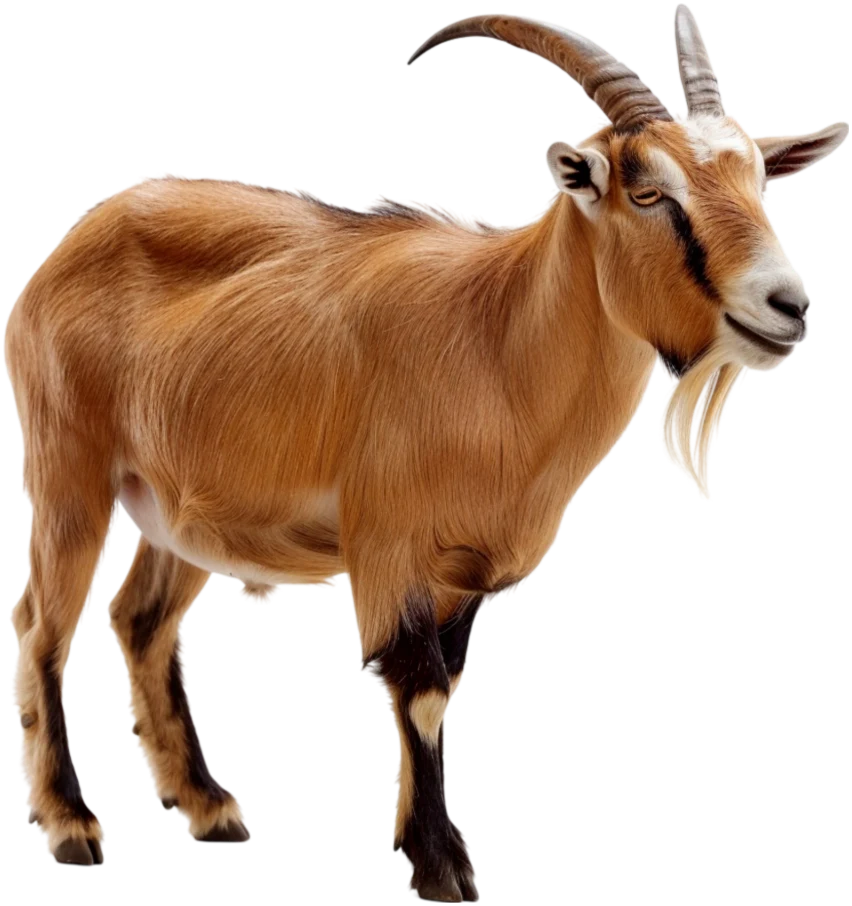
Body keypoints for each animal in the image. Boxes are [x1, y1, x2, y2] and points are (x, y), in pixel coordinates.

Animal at [5, 4, 846, 897]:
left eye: (760, 184)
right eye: (649, 191)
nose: (787, 305)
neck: (497, 336)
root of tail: (70, 247)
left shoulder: (466, 571)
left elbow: (447, 684)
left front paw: (441, 856)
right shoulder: (389, 549)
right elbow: (416, 686)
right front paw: (443, 868)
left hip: (179, 509)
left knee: (142, 620)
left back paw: (211, 809)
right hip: (68, 473)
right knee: (45, 622)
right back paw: (69, 824)